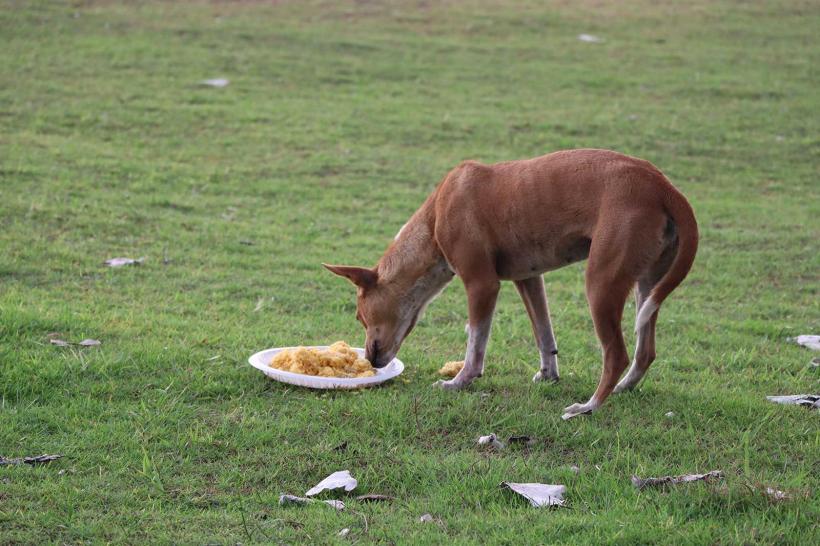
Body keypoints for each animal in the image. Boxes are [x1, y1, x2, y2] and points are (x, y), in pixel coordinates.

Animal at [324, 149, 696, 416]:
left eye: (360, 316)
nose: (371, 360)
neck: (434, 217)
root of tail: (664, 187)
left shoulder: (482, 284)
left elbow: (476, 342)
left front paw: (460, 381)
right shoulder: (528, 279)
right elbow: (544, 334)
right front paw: (548, 374)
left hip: (601, 282)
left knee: (616, 354)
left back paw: (589, 406)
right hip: (648, 283)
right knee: (645, 350)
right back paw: (624, 387)